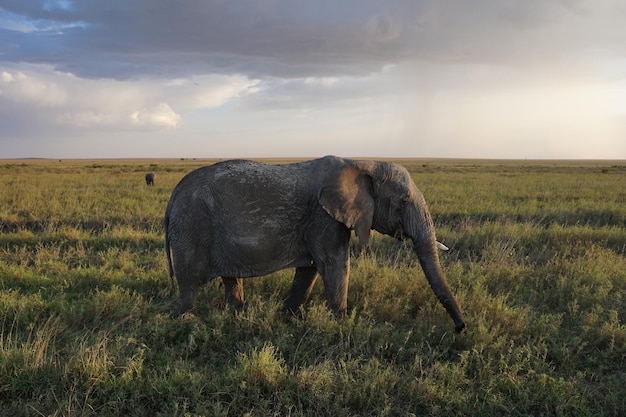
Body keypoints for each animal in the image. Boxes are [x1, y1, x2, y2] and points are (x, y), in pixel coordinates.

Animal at [163, 156, 466, 332]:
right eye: (403, 201)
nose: (461, 328)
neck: (363, 162)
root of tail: (173, 194)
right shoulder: (324, 216)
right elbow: (334, 263)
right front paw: (341, 325)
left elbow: (310, 270)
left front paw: (288, 319)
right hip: (191, 225)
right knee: (190, 282)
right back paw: (186, 322)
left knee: (230, 278)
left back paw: (236, 315)